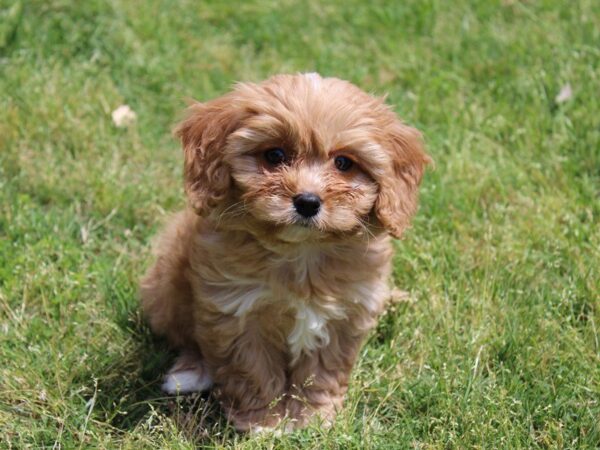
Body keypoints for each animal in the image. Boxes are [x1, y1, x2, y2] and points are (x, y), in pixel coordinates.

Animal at [141, 72, 432, 430]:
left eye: (344, 163)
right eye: (275, 155)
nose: (307, 201)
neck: (302, 252)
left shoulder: (343, 315)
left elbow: (322, 372)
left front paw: (312, 418)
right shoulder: (235, 312)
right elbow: (252, 371)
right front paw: (263, 422)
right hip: (167, 285)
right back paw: (190, 373)